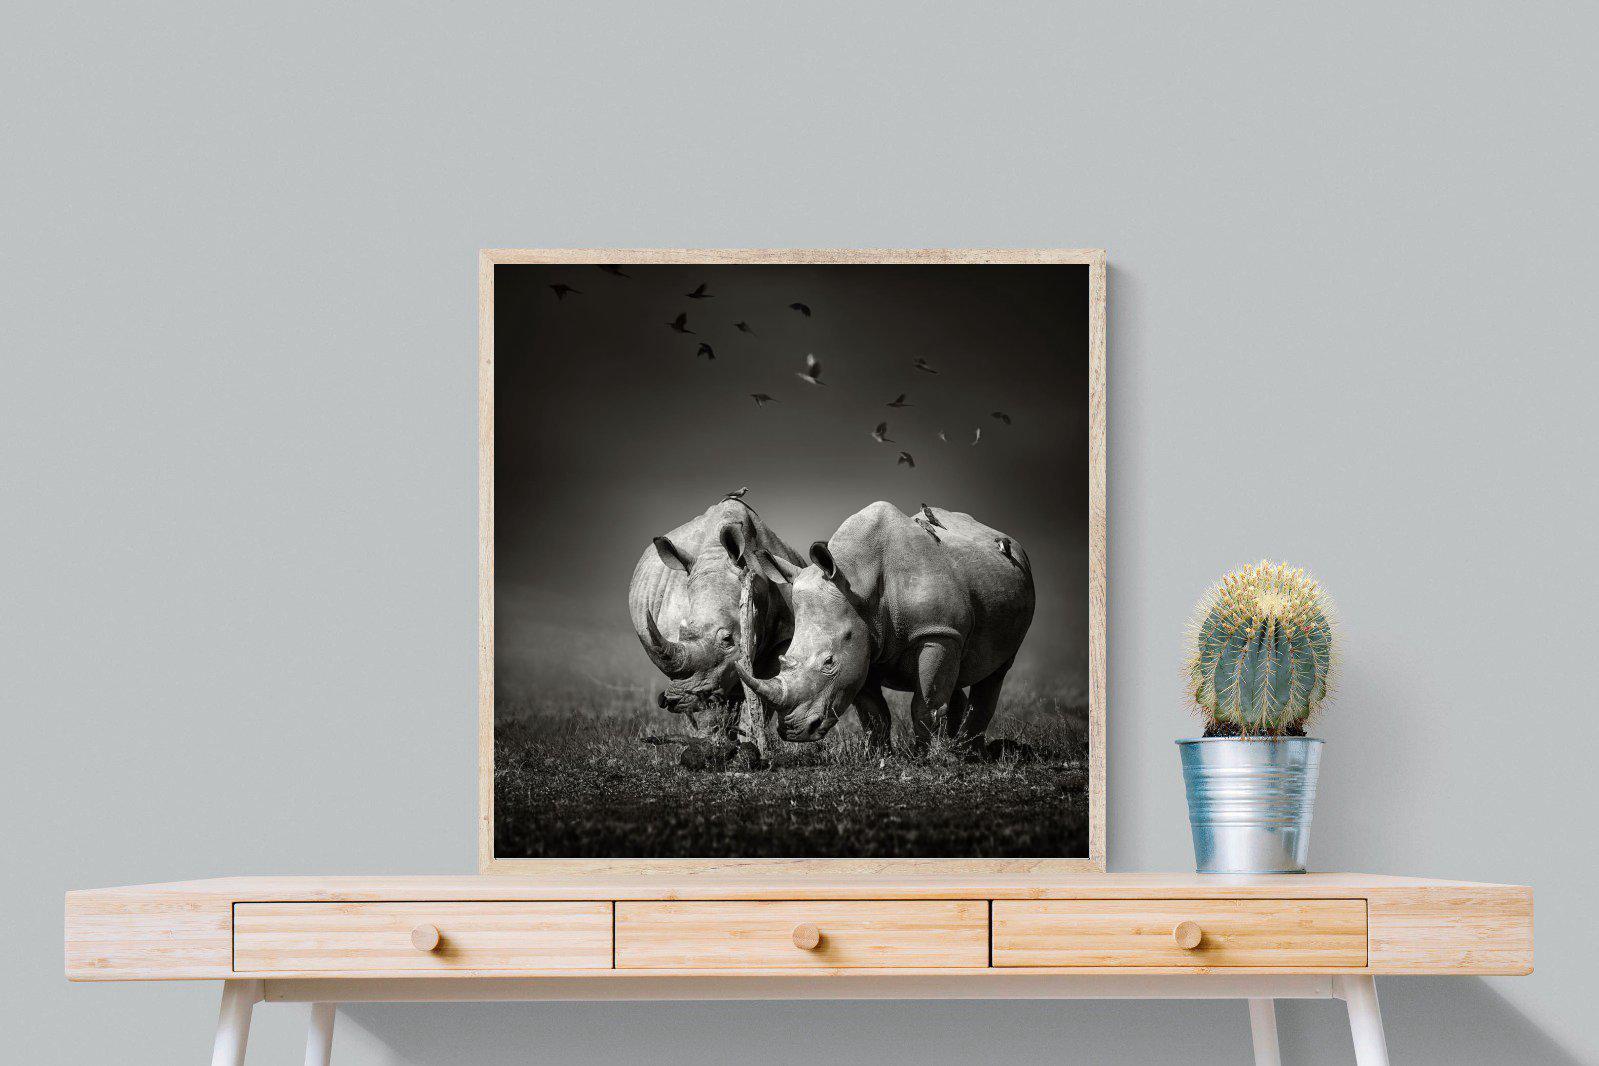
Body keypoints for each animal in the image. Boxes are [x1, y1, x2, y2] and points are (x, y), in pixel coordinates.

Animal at [628, 498, 804, 751]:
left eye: (728, 639)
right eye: (681, 632)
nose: (674, 699)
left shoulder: (783, 637)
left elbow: (762, 690)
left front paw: (750, 743)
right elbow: (707, 701)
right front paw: (711, 743)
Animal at [735, 501, 1035, 751]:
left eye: (829, 663)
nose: (793, 731)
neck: (857, 580)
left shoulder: (937, 632)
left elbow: (925, 704)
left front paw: (927, 757)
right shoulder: (863, 641)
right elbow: (874, 712)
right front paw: (880, 755)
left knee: (996, 672)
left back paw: (969, 752)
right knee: (956, 675)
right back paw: (957, 746)